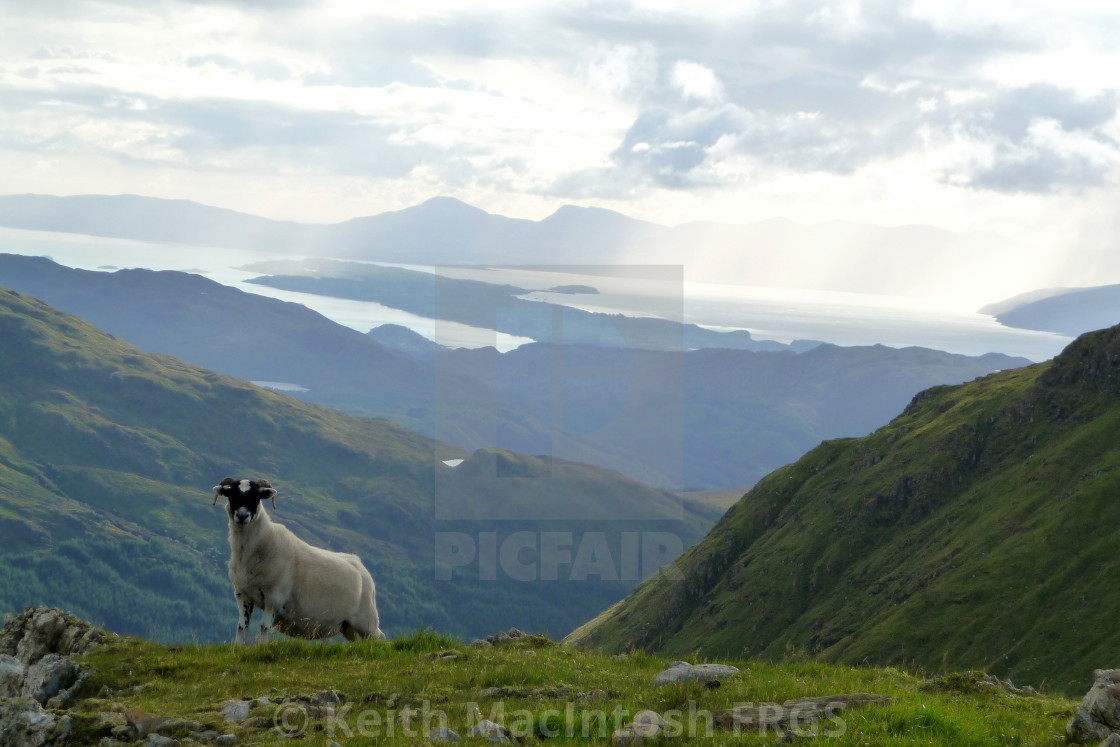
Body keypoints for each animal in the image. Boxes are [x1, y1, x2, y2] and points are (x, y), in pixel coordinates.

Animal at [211, 479, 387, 645]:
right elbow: (242, 627)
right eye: (231, 494)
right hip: (348, 626)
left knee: (380, 638)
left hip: (367, 621)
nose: (242, 516)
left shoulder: (274, 598)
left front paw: (261, 647)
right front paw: (237, 647)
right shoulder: (243, 595)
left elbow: (264, 627)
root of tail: (361, 566)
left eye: (257, 496)